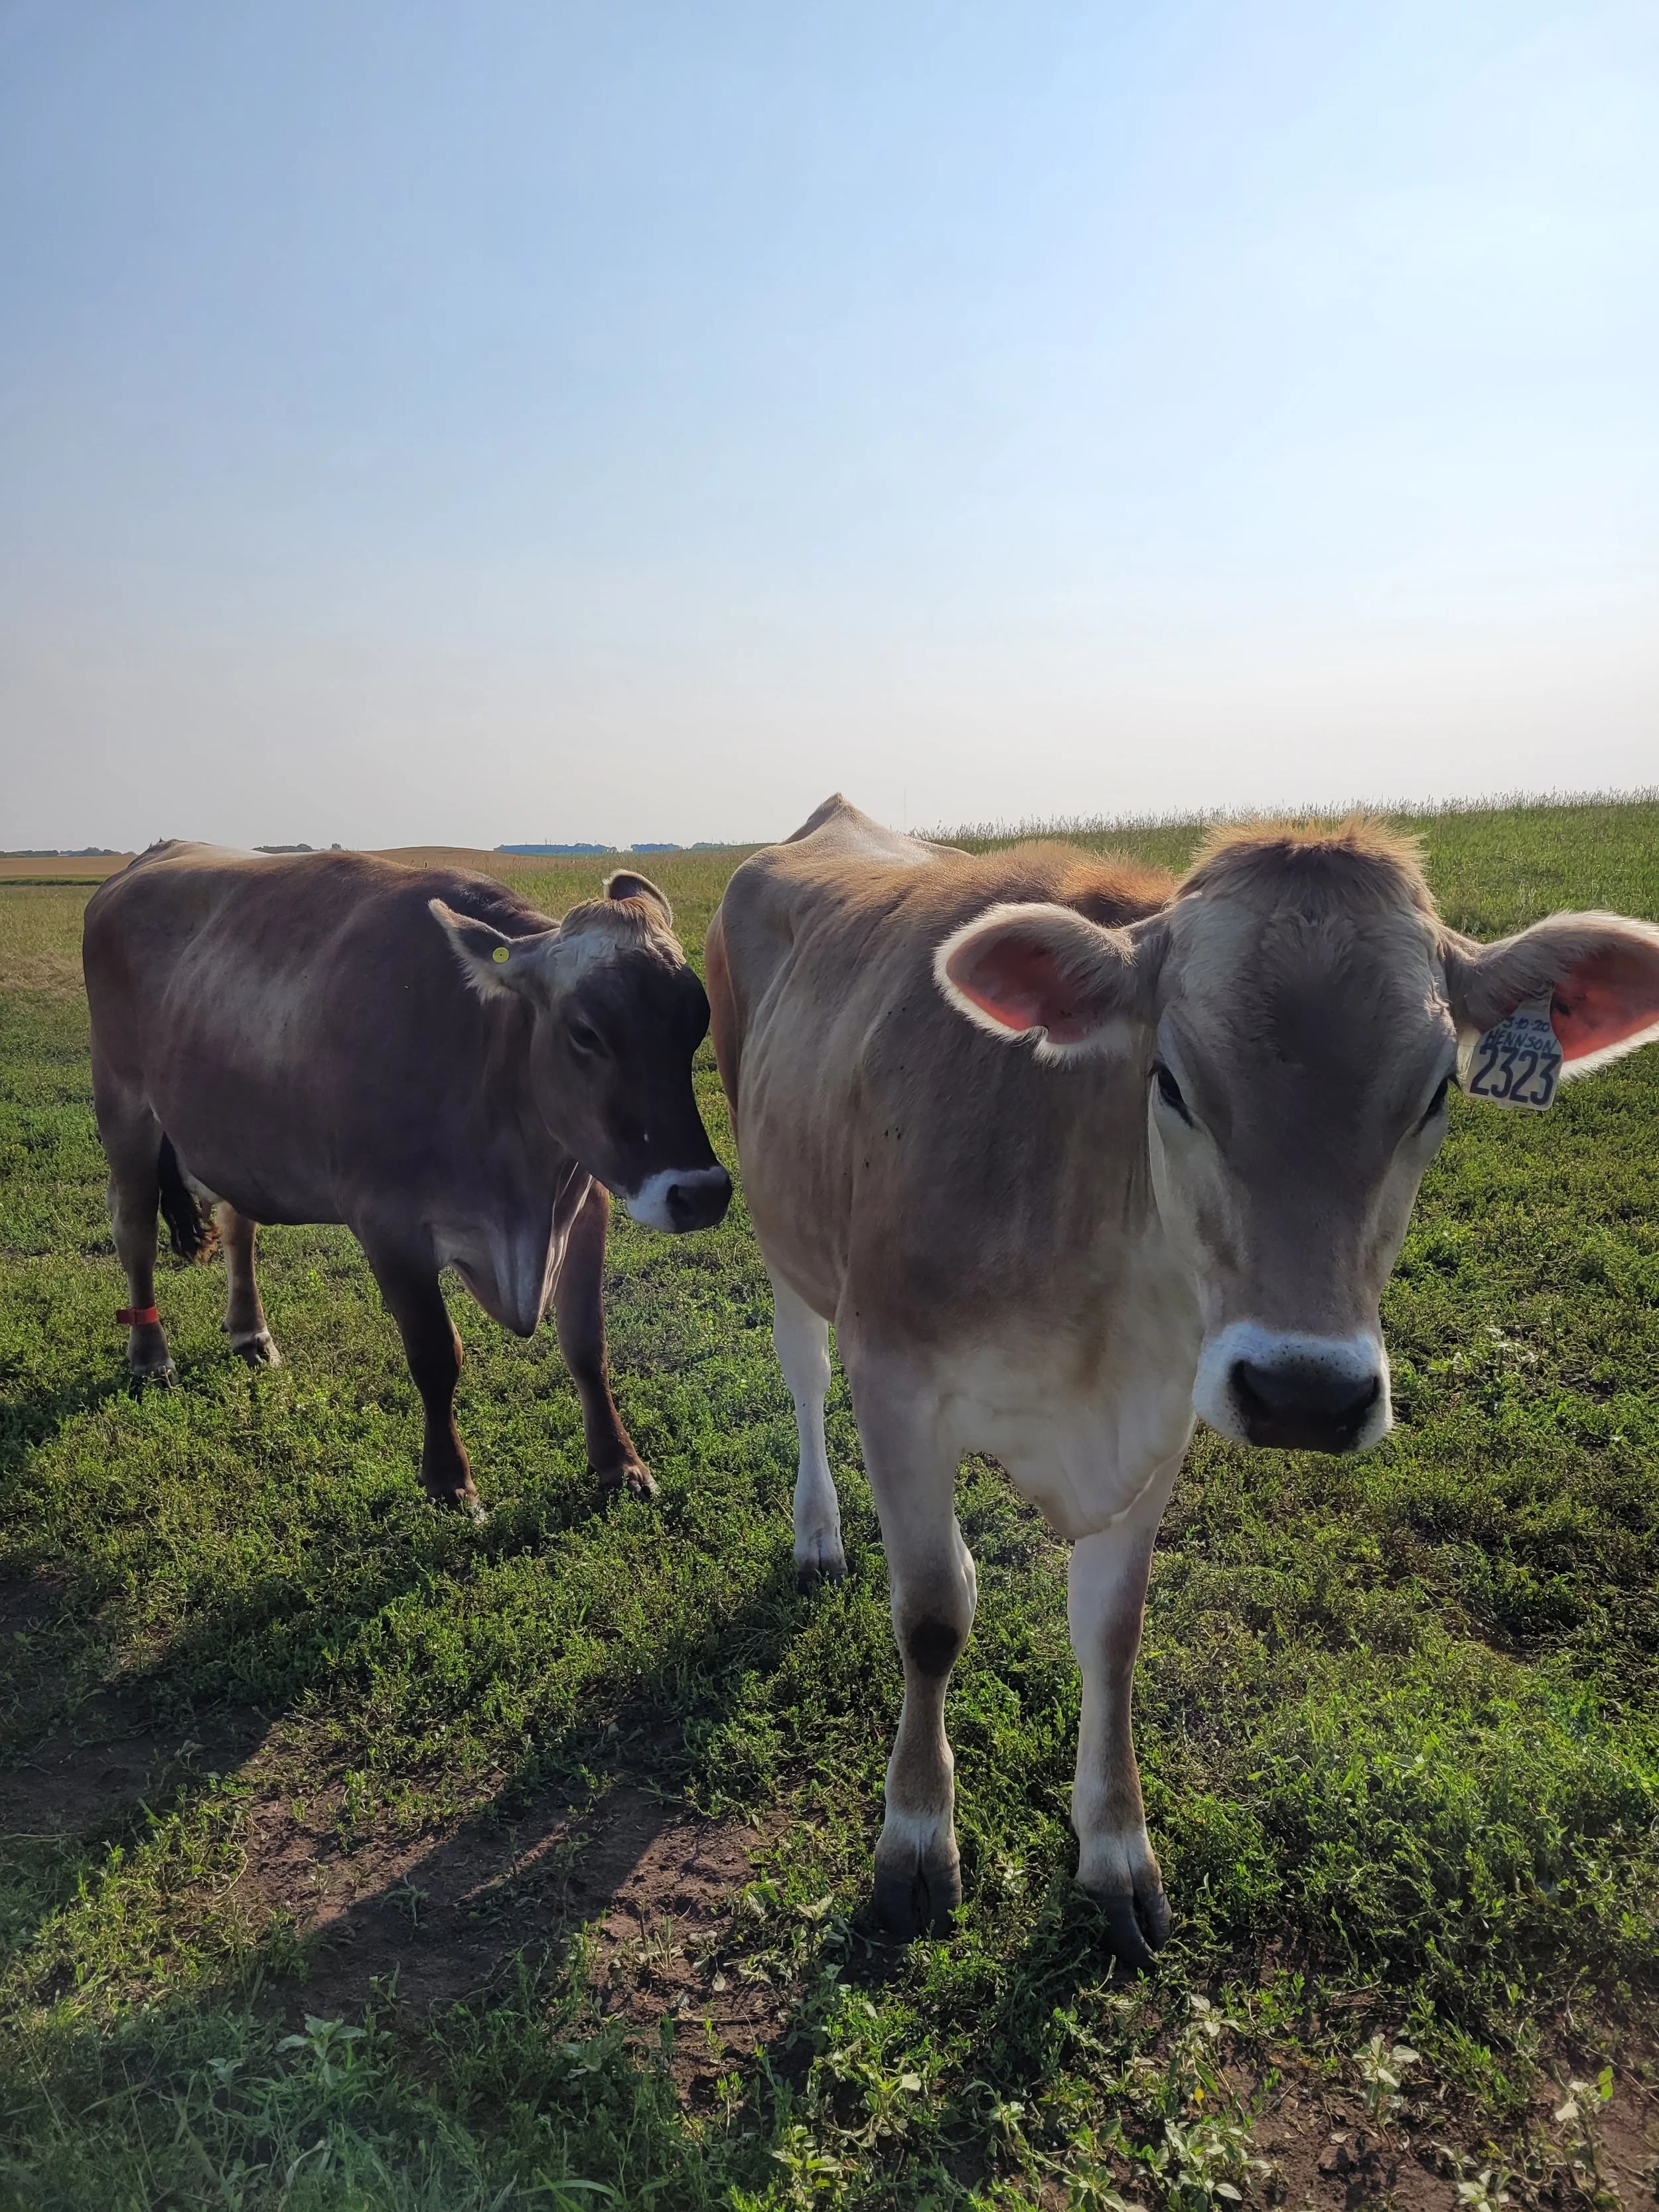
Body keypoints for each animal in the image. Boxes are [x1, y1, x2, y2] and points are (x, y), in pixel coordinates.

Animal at [83, 844, 731, 1514]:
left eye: (697, 1020)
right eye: (585, 1031)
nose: (701, 1193)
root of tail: (149, 858)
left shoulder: (584, 1205)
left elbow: (587, 1345)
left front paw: (620, 1462)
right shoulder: (388, 1225)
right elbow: (436, 1354)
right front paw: (449, 1480)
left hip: (229, 1133)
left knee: (239, 1225)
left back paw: (250, 1332)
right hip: (123, 1105)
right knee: (134, 1230)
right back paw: (150, 1354)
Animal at [705, 794, 1659, 1962]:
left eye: (1437, 1092)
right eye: (1171, 1081)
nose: (1307, 1393)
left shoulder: (1165, 1406)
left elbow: (1112, 1634)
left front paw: (1116, 1849)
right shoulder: (897, 1381)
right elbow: (932, 1614)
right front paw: (918, 1840)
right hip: (781, 1221)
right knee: (801, 1370)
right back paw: (818, 1532)